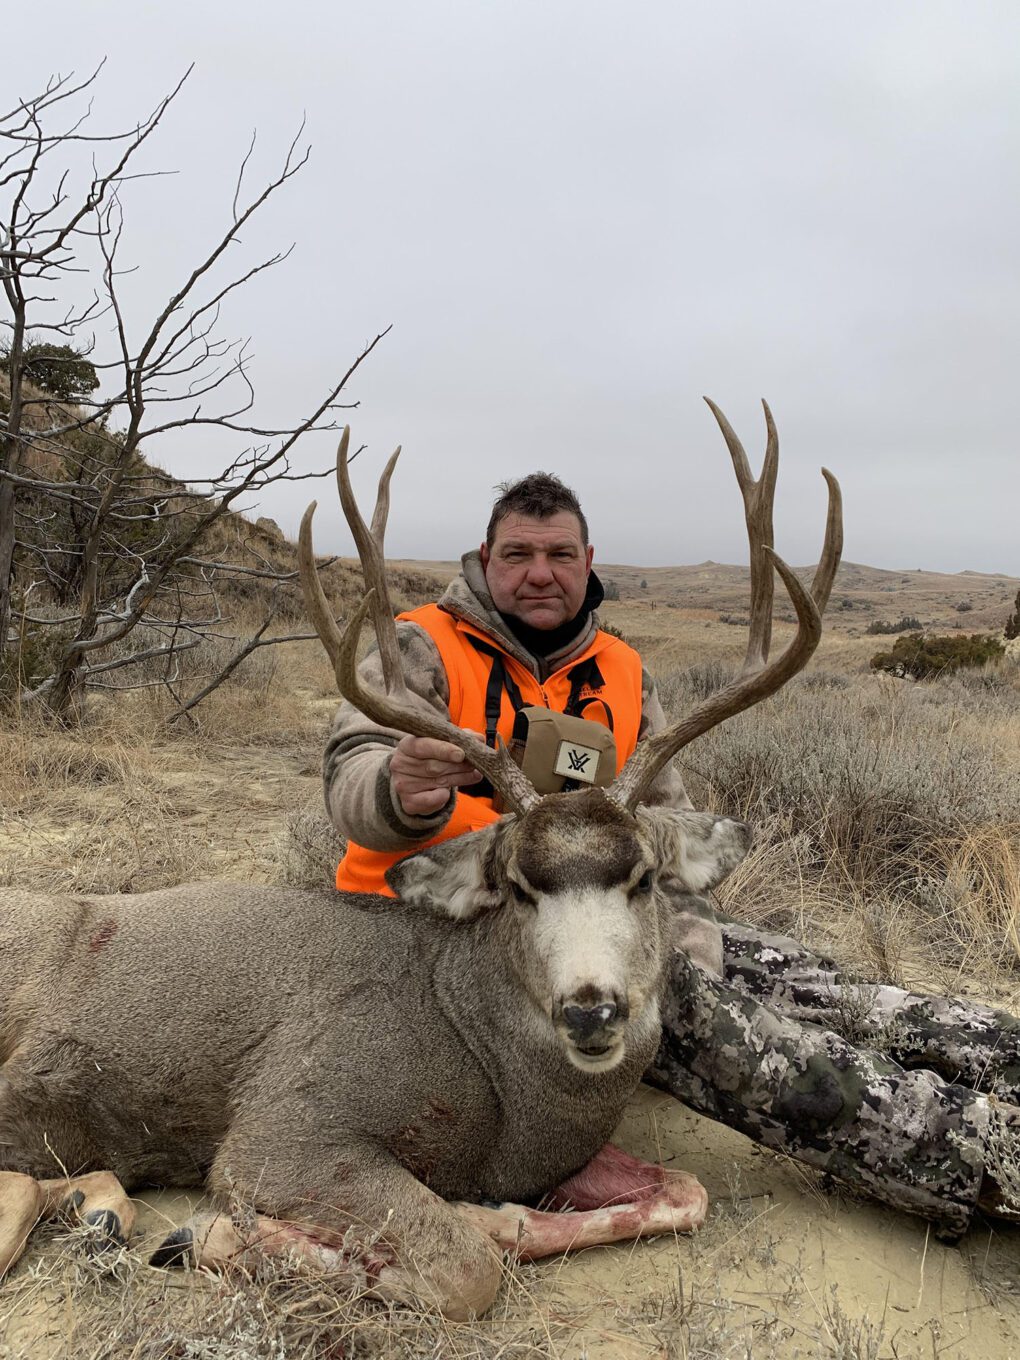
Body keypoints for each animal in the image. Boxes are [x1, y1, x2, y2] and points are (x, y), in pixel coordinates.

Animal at [0, 399, 848, 1316]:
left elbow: (683, 1193)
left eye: (644, 878)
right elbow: (464, 1271)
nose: (591, 1011)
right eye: (516, 887)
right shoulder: (288, 1121)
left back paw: (96, 1209)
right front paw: (225, 1236)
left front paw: (501, 1217)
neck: (501, 1089)